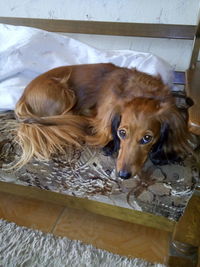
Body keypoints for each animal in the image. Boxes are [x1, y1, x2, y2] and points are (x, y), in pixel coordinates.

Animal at [14, 63, 192, 179]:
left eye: (147, 138)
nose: (123, 175)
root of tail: (23, 98)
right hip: (65, 94)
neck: (143, 92)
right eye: (122, 133)